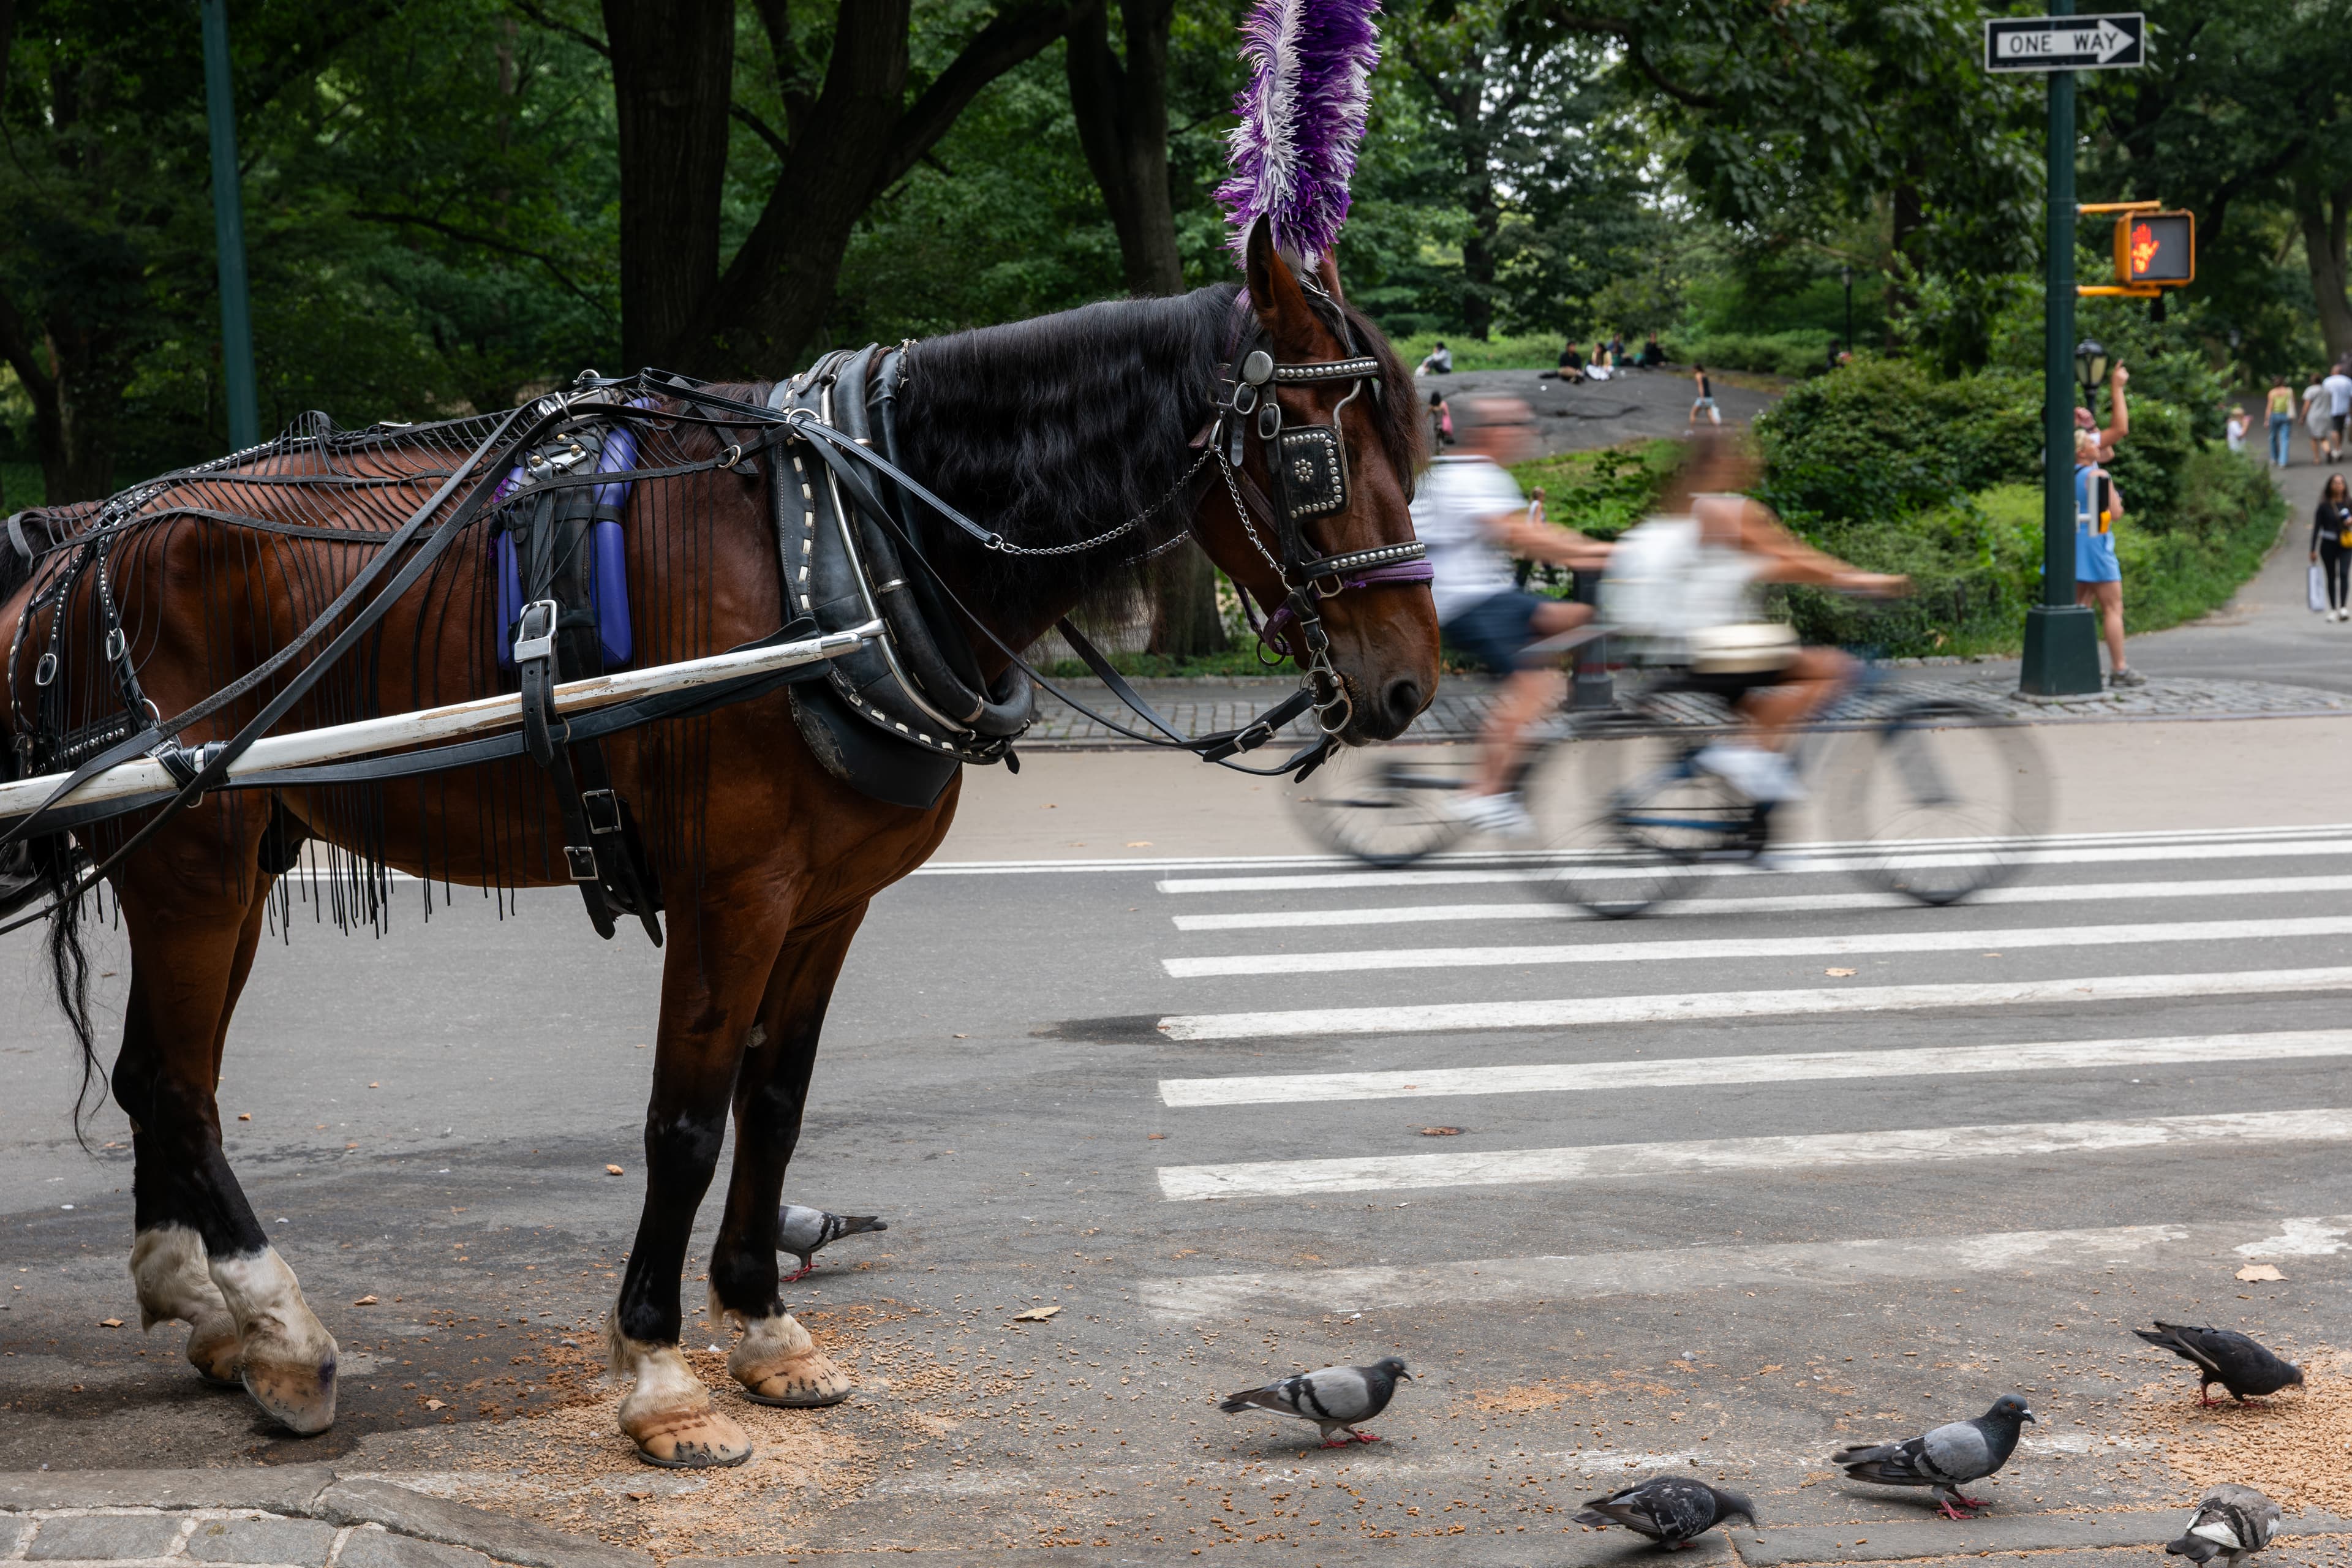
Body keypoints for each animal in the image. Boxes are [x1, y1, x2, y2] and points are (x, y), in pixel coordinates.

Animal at [0, 226, 1438, 1468]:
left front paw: (762, 1326)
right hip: (191, 858)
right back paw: (284, 1334)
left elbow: (778, 1101)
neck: (844, 545)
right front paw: (658, 1374)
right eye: (1310, 448)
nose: (1410, 685)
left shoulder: (830, 901)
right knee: (181, 1087)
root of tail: (79, 541)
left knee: (155, 1078)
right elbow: (685, 1123)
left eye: (1415, 436)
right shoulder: (730, 895)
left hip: (231, 861)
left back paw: (209, 1313)